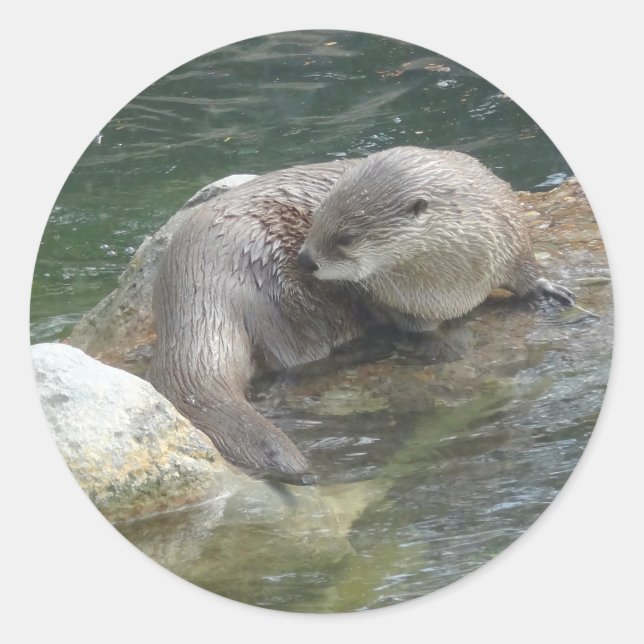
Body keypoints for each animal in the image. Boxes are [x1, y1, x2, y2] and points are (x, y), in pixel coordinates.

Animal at [148, 146, 574, 485]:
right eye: (317, 219)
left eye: (347, 238)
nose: (305, 258)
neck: (451, 282)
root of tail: (195, 281)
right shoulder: (388, 298)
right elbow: (411, 325)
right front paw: (440, 344)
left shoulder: (507, 229)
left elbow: (524, 268)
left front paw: (548, 290)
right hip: (277, 290)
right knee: (296, 354)